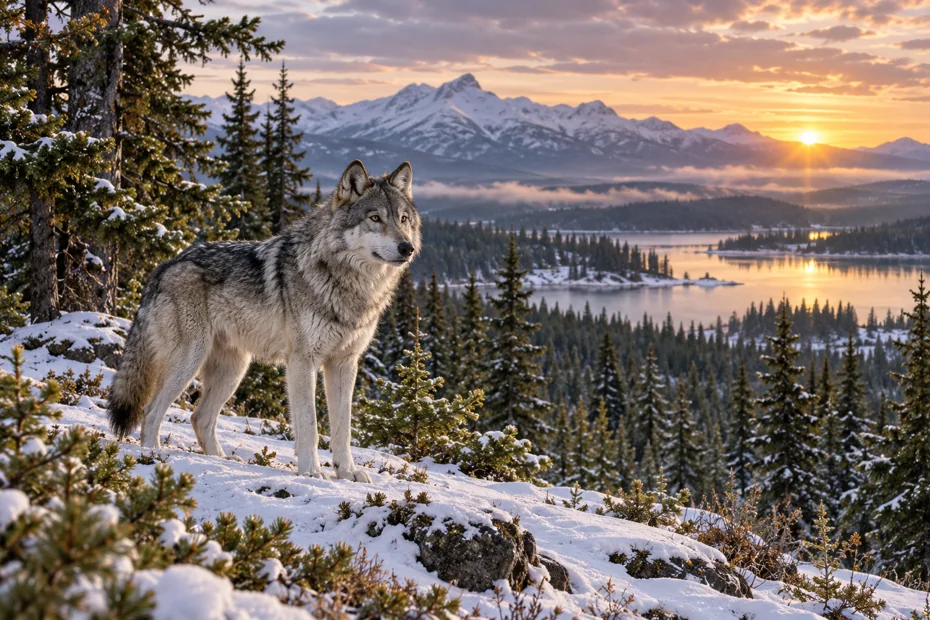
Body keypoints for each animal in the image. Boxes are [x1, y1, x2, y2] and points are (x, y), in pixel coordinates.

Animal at [107, 160, 421, 482]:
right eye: (375, 218)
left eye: (403, 219)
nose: (406, 247)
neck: (350, 284)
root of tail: (163, 267)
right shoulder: (302, 361)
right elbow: (309, 424)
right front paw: (311, 471)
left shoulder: (344, 363)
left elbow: (343, 428)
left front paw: (347, 472)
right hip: (189, 361)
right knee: (151, 411)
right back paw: (154, 456)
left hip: (233, 370)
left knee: (199, 417)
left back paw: (221, 459)